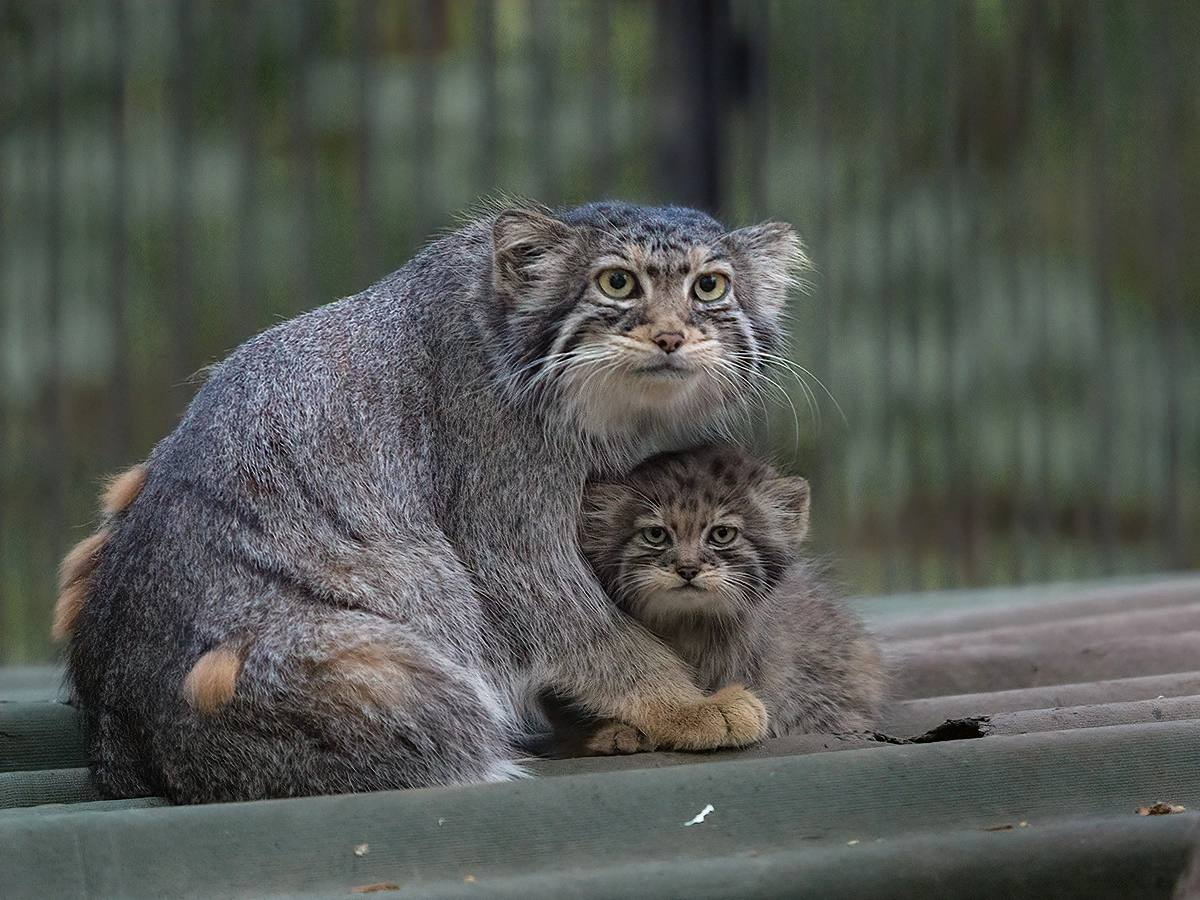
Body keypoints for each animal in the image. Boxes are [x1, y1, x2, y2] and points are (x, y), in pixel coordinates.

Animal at [576, 448, 888, 748]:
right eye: (655, 534)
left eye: (722, 534)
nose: (687, 569)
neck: (688, 627)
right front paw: (620, 731)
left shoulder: (823, 701)